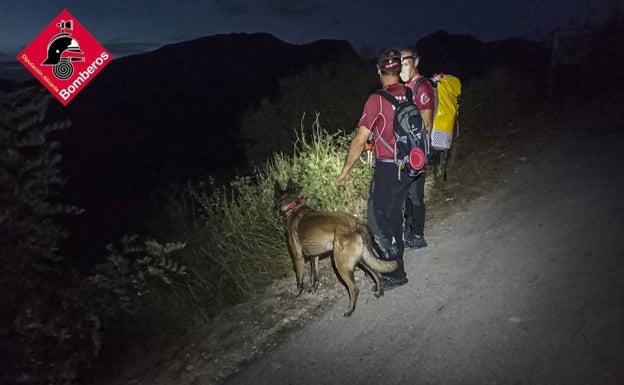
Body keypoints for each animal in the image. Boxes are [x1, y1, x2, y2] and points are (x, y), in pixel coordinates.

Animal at [274, 178, 400, 316]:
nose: (274, 212)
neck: (293, 207)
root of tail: (356, 223)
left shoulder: (297, 257)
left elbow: (299, 278)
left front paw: (298, 293)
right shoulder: (314, 256)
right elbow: (314, 274)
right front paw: (313, 288)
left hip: (340, 264)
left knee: (354, 288)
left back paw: (350, 310)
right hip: (362, 258)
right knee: (377, 273)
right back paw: (379, 291)